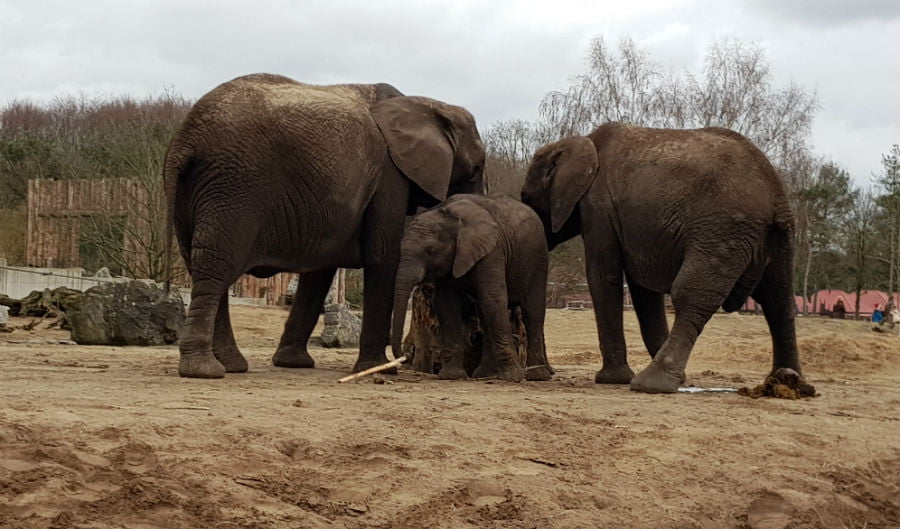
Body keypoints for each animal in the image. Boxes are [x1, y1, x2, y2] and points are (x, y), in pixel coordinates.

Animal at [164, 73, 485, 379]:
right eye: (477, 167)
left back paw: (230, 365)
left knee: (203, 267)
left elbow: (320, 271)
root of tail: (184, 140)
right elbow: (382, 256)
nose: (403, 358)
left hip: (196, 193)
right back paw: (204, 370)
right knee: (216, 268)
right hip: (235, 187)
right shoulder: (389, 175)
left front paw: (294, 364)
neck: (429, 104)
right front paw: (379, 369)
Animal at [390, 194, 552, 382]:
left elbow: (494, 299)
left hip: (538, 259)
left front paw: (513, 378)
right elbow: (446, 305)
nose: (407, 355)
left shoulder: (492, 252)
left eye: (431, 251)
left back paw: (537, 376)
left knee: (531, 311)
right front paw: (451, 376)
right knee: (484, 313)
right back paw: (486, 374)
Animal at [521, 122, 805, 393]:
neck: (584, 141)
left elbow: (603, 276)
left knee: (691, 294)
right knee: (778, 300)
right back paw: (789, 381)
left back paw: (650, 384)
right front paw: (681, 378)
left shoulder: (599, 206)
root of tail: (776, 195)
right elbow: (643, 291)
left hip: (723, 231)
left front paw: (612, 380)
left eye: (526, 196)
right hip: (776, 237)